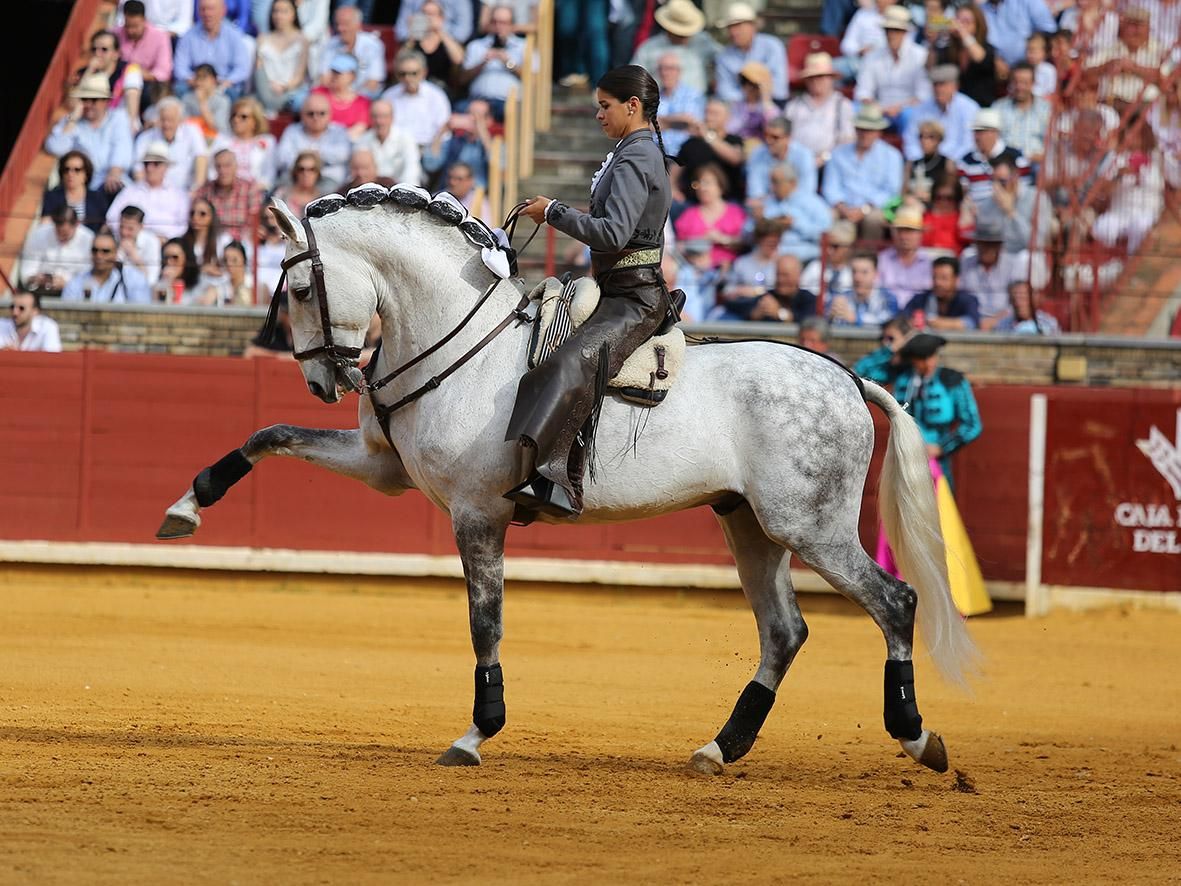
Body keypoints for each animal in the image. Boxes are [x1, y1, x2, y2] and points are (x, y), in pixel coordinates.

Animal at [161, 192, 982, 774]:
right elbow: (268, 435)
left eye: (301, 288)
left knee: (894, 600)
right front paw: (187, 507)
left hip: (808, 525)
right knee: (784, 631)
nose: (321, 381)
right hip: (749, 524)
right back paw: (718, 749)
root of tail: (848, 377)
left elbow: (484, 621)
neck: (458, 338)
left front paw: (476, 733)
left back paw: (917, 738)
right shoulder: (381, 465)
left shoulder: (476, 511)